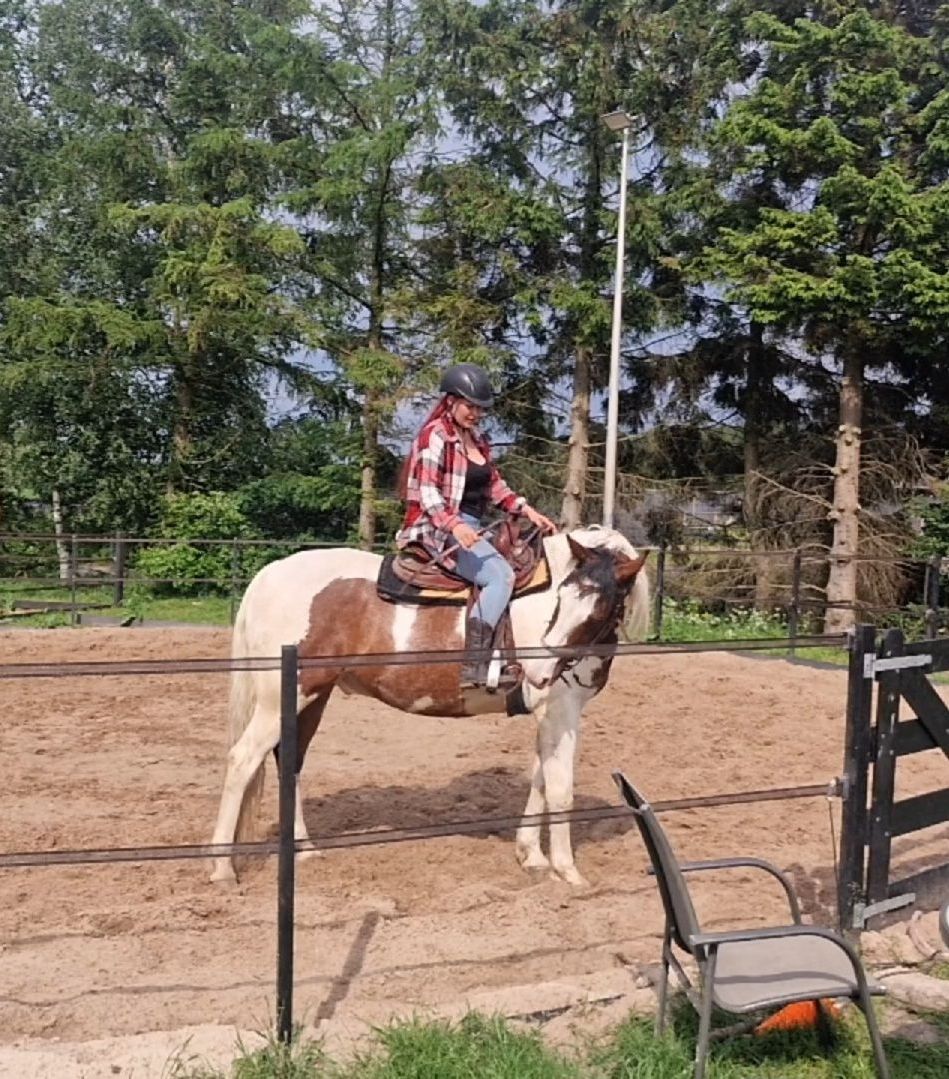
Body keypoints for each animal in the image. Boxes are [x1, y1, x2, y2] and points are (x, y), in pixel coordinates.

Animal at [209, 525, 650, 886]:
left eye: (598, 607)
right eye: (563, 597)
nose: (537, 669)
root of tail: (269, 574)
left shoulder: (551, 713)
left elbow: (540, 778)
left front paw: (532, 856)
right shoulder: (561, 709)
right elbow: (560, 789)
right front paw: (567, 870)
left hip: (310, 696)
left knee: (291, 761)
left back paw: (304, 848)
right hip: (280, 699)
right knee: (242, 760)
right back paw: (222, 868)